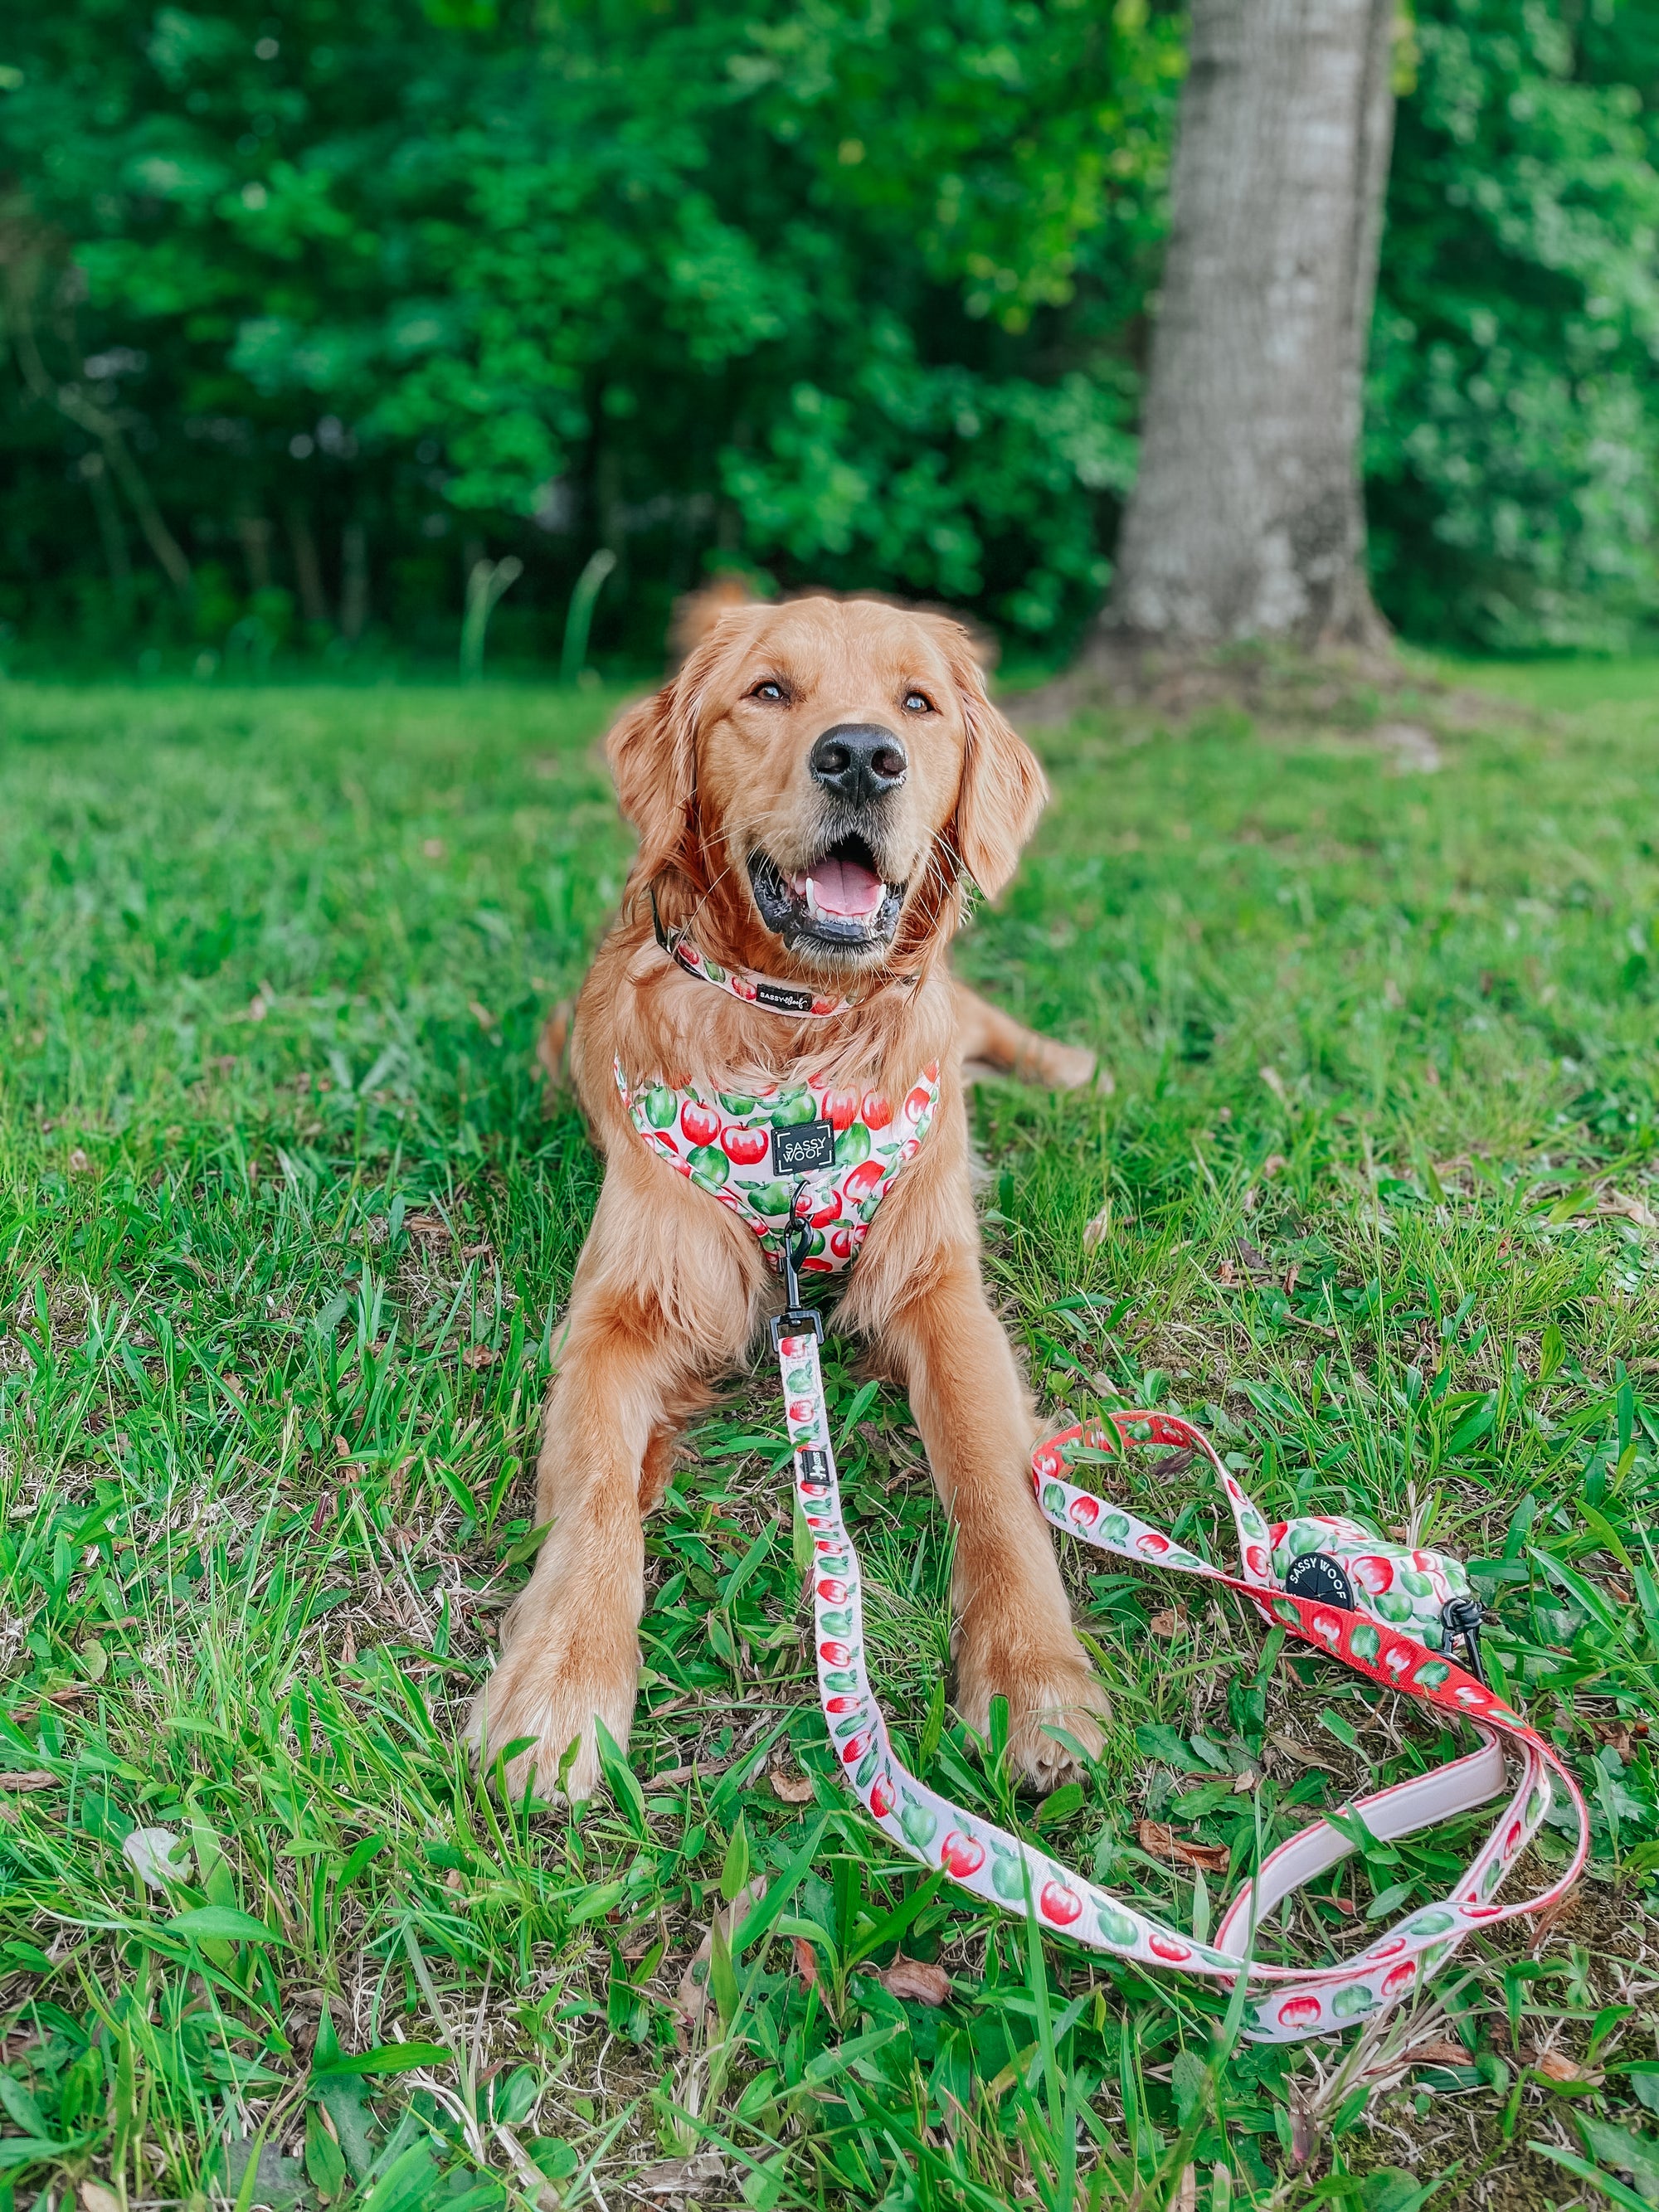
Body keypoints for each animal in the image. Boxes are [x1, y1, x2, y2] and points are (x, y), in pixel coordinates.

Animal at [473, 597, 1110, 1805]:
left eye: (919, 702)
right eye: (767, 691)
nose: (862, 756)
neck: (797, 1035)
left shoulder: (939, 1285)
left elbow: (992, 1482)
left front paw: (1033, 1670)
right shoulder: (623, 1309)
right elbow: (595, 1493)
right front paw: (561, 1685)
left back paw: (1076, 1069)